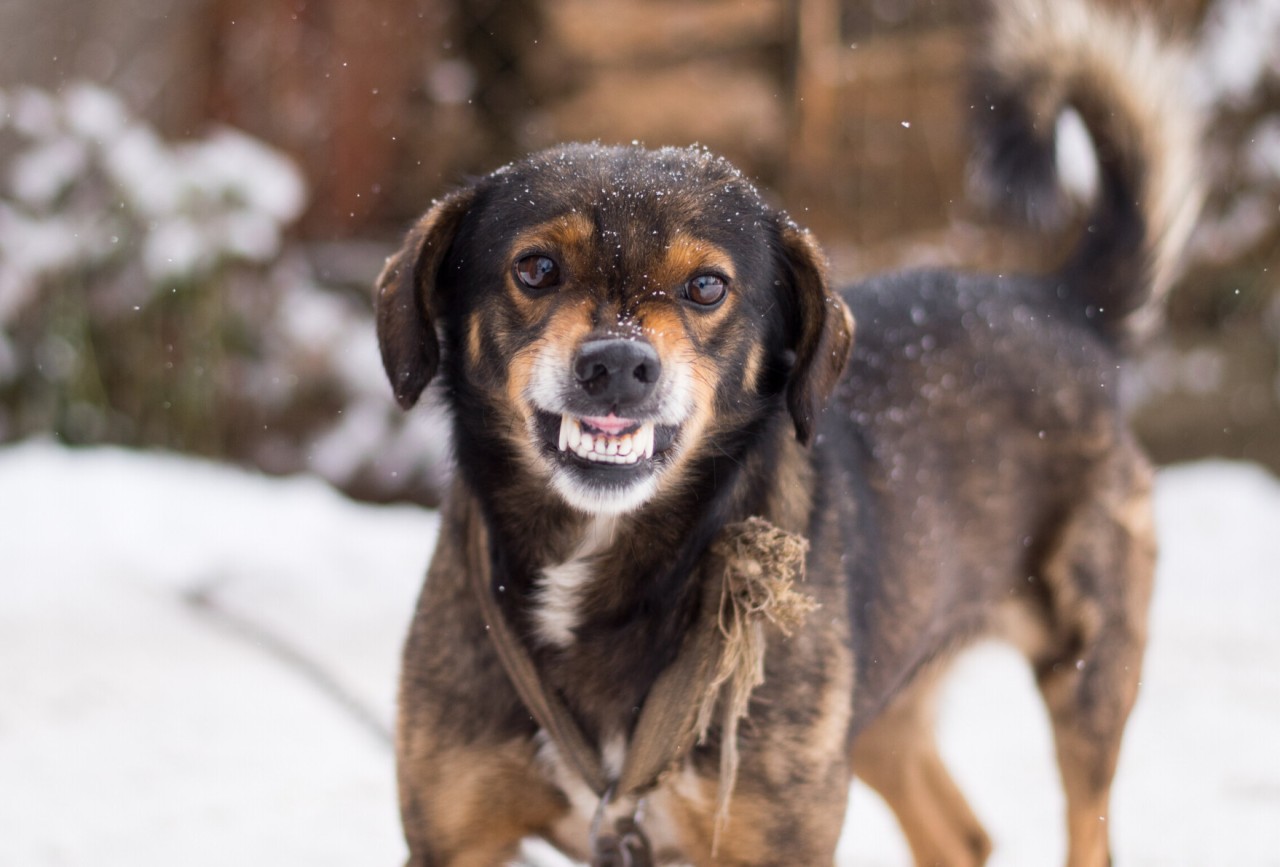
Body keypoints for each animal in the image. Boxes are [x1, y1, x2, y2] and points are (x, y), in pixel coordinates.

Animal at [373, 0, 1203, 860]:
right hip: (878, 708)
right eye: (535, 269)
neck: (607, 558)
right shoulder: (453, 835)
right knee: (961, 832)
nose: (618, 365)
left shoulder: (776, 836)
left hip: (1087, 677)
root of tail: (1062, 304)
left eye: (707, 286)